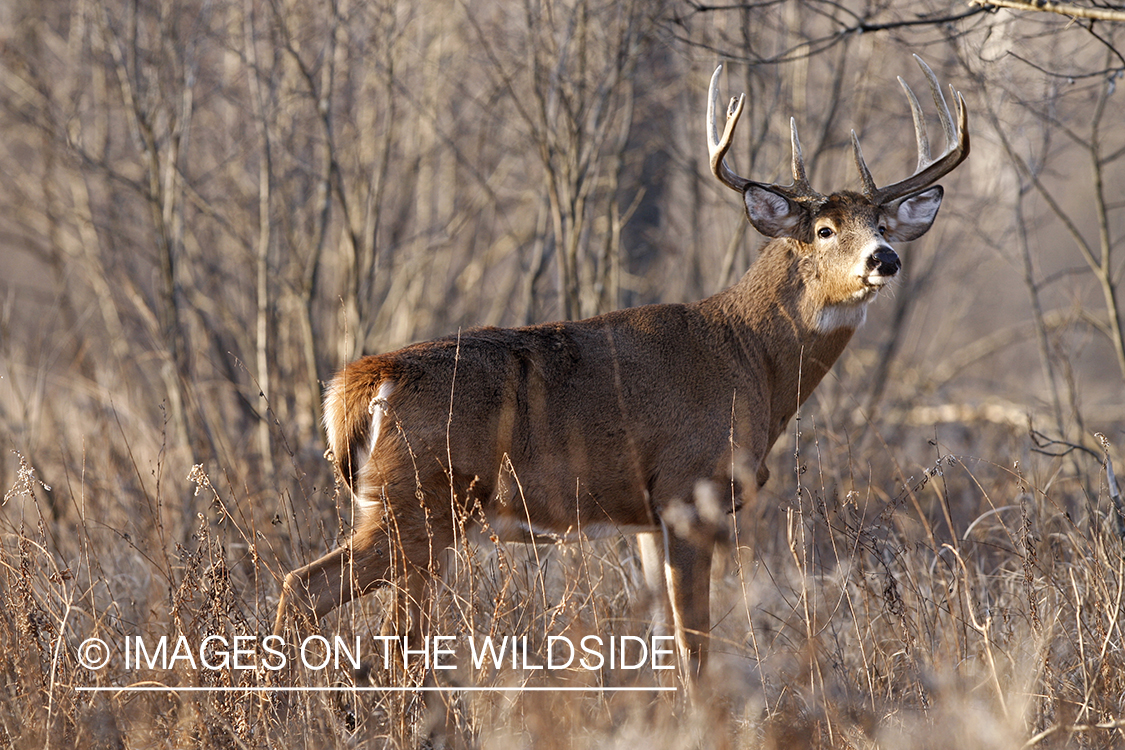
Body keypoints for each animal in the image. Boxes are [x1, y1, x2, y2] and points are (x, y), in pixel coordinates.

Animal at [272, 57, 967, 692]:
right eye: (824, 229)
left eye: (882, 223)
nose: (885, 259)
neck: (751, 359)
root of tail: (358, 383)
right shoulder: (690, 487)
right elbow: (694, 645)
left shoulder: (645, 515)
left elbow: (664, 646)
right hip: (420, 502)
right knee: (328, 599)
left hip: (404, 509)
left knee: (353, 611)